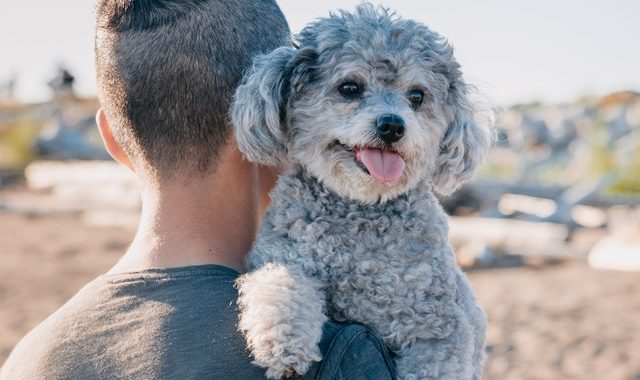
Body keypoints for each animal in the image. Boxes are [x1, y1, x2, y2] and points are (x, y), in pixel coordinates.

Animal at [232, 3, 492, 380]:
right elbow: (279, 283)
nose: (392, 125)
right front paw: (283, 345)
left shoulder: (441, 326)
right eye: (349, 87)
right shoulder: (281, 253)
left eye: (417, 96)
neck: (361, 208)